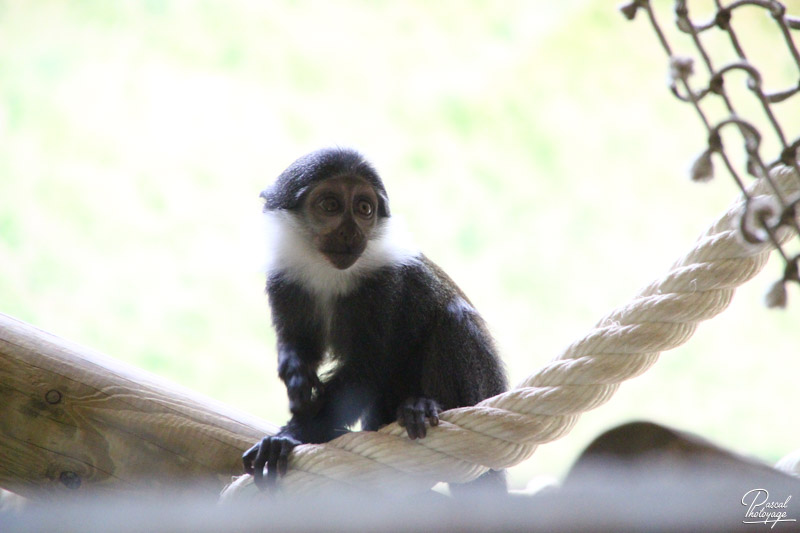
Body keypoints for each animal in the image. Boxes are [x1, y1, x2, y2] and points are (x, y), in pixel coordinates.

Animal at [241, 148, 510, 492]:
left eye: (364, 208)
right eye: (330, 205)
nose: (352, 231)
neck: (326, 271)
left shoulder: (383, 286)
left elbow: (366, 368)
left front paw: (289, 436)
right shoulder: (285, 275)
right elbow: (298, 342)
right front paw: (295, 376)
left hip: (484, 386)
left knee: (453, 320)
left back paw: (422, 406)